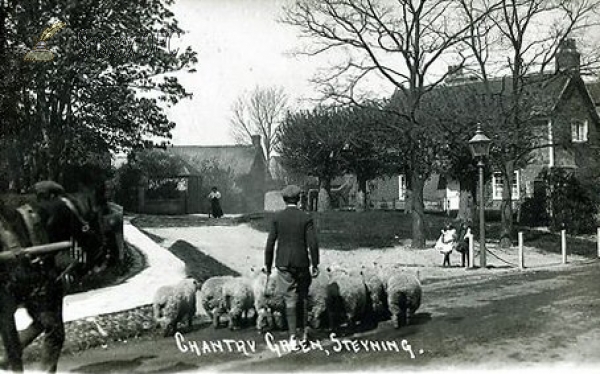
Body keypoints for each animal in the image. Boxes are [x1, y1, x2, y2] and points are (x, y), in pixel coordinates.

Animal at [0, 180, 109, 372]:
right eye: (98, 218)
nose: (105, 254)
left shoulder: (40, 298)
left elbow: (44, 333)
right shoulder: (8, 307)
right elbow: (16, 350)